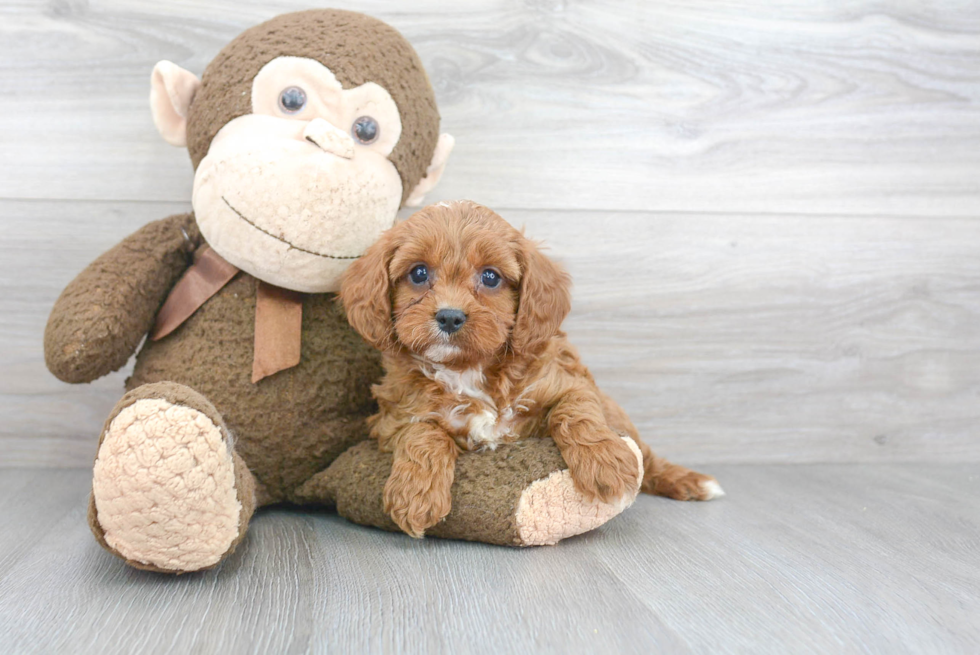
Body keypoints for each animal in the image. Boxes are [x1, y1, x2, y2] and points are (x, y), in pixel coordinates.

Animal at [340, 200, 724, 540]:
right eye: (418, 273)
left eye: (490, 277)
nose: (449, 316)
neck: (470, 369)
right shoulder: (393, 417)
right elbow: (422, 432)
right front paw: (415, 494)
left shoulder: (568, 381)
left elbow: (575, 412)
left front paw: (606, 465)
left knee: (648, 456)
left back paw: (689, 481)